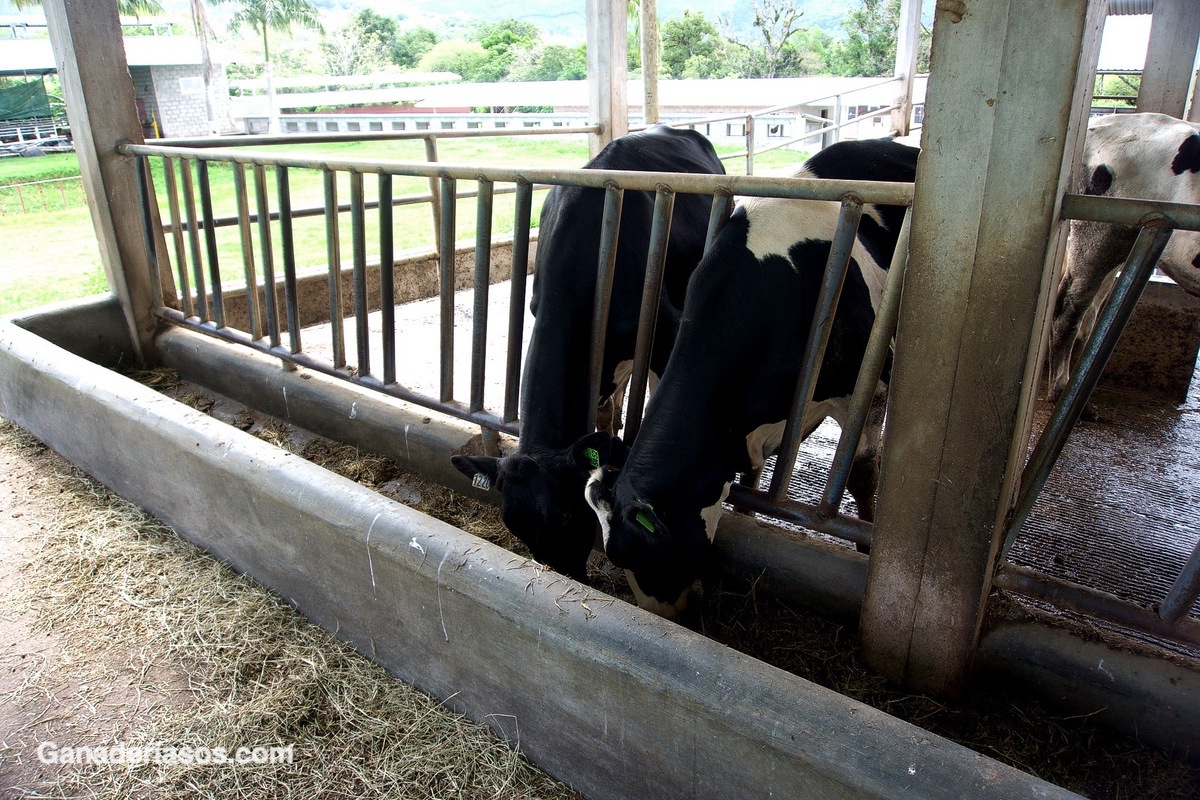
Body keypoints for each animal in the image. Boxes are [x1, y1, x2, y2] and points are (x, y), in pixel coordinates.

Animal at [580, 137, 916, 618]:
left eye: (641, 554)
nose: (670, 614)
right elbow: (753, 478)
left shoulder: (868, 394)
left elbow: (862, 476)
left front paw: (869, 552)